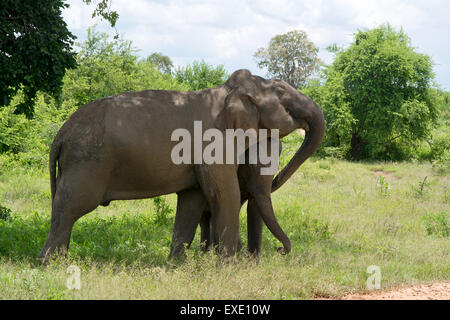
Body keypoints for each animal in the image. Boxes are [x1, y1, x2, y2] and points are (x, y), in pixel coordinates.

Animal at [39, 69, 324, 262]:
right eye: (283, 95)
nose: (281, 251)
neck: (225, 93)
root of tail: (61, 134)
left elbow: (192, 201)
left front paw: (176, 266)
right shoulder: (213, 145)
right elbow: (226, 194)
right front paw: (229, 267)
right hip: (86, 163)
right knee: (70, 208)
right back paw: (51, 265)